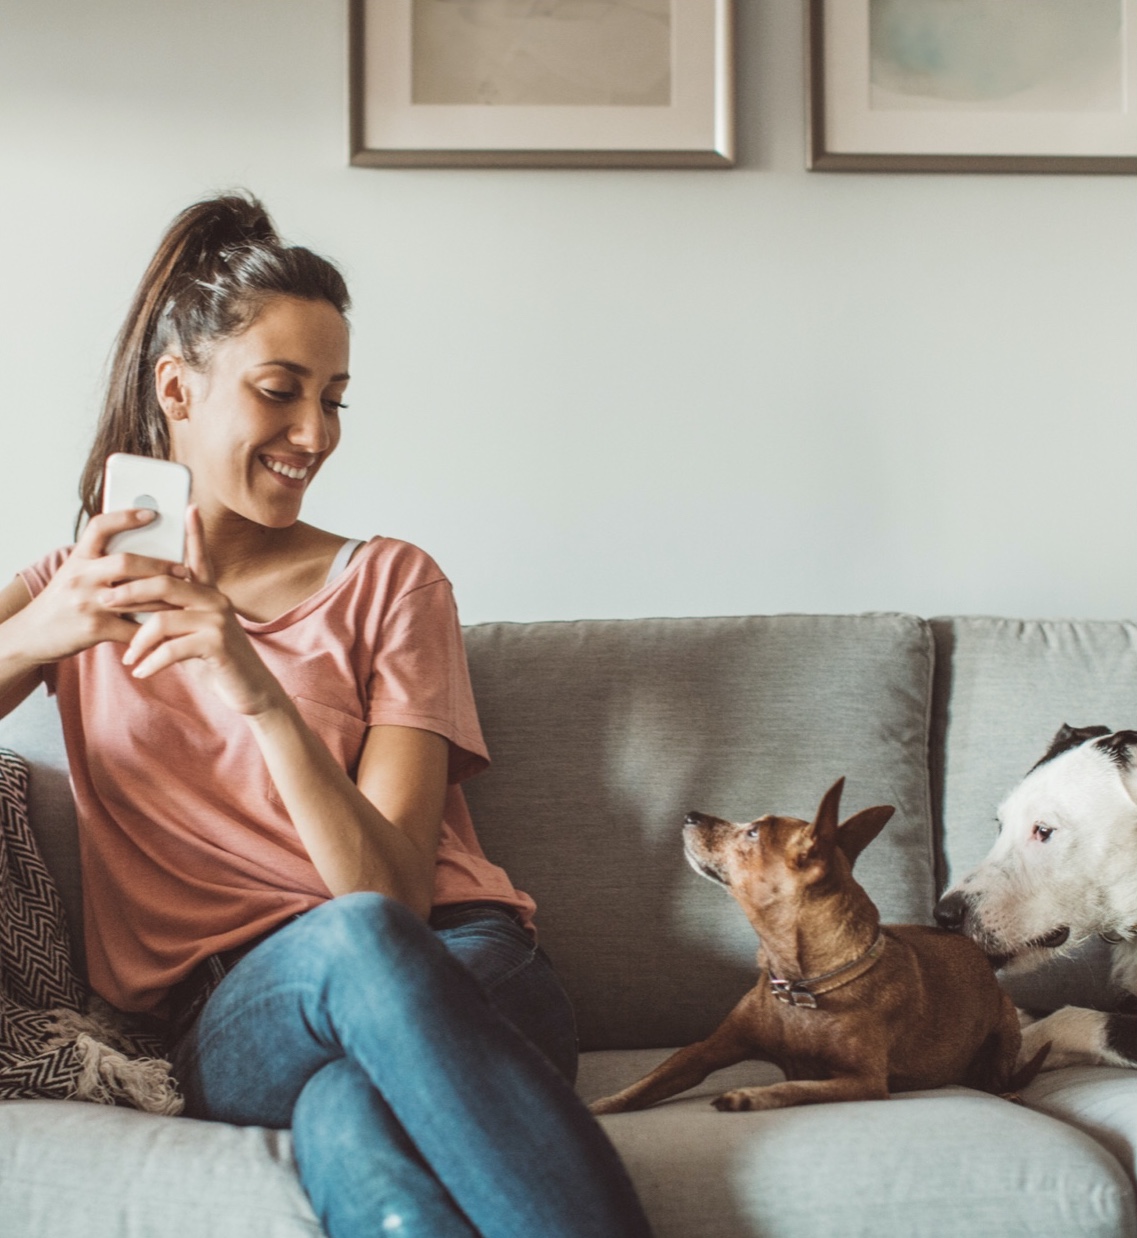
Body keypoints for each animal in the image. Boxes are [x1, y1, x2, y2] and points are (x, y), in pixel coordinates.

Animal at [592, 777, 1045, 1119]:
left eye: (753, 832)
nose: (690, 815)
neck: (800, 986)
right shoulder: (706, 1050)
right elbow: (650, 1081)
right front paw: (603, 1104)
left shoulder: (862, 1081)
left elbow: (797, 1089)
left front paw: (750, 1095)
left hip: (1006, 1027)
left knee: (1000, 1073)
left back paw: (1006, 1090)